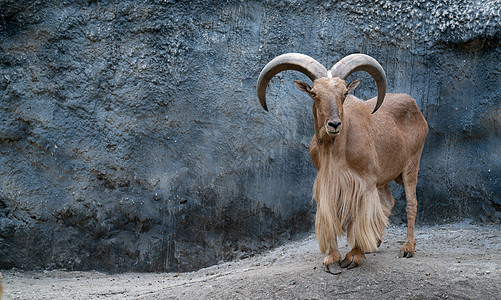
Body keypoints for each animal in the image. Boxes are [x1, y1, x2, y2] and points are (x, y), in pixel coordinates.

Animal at [256, 52, 428, 274]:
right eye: (314, 93)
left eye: (345, 92)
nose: (334, 124)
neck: (336, 150)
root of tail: (413, 104)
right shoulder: (329, 182)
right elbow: (332, 215)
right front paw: (332, 258)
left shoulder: (364, 182)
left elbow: (360, 216)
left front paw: (354, 256)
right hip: (383, 177)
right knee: (389, 202)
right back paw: (375, 242)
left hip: (411, 164)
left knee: (411, 204)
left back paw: (407, 248)